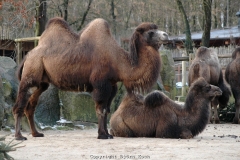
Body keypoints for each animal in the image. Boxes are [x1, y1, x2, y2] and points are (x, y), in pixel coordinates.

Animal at [11, 17, 169, 140]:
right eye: (150, 32)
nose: (166, 35)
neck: (118, 61)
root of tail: (27, 55)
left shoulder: (112, 85)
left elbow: (107, 109)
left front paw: (108, 134)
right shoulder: (101, 84)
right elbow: (101, 109)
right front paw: (102, 135)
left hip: (41, 82)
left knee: (31, 105)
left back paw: (36, 133)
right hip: (30, 73)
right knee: (20, 104)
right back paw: (19, 136)